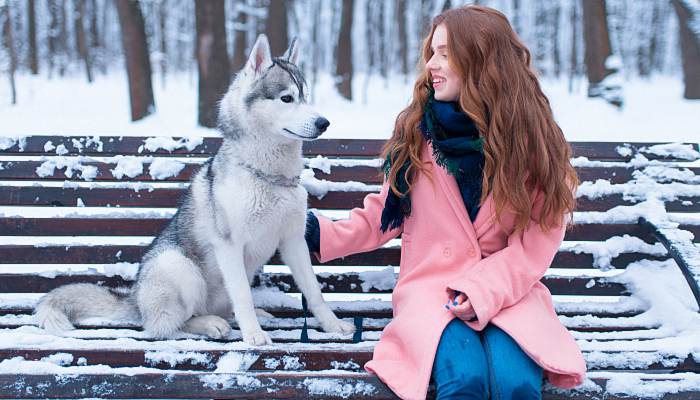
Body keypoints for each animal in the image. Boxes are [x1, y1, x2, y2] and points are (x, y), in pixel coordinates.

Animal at [34, 34, 356, 346]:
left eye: (306, 97)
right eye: (286, 98)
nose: (324, 122)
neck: (268, 176)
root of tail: (135, 299)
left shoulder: (293, 240)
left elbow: (313, 291)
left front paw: (333, 325)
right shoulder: (229, 245)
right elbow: (243, 296)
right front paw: (253, 335)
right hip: (179, 267)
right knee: (167, 325)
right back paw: (209, 324)